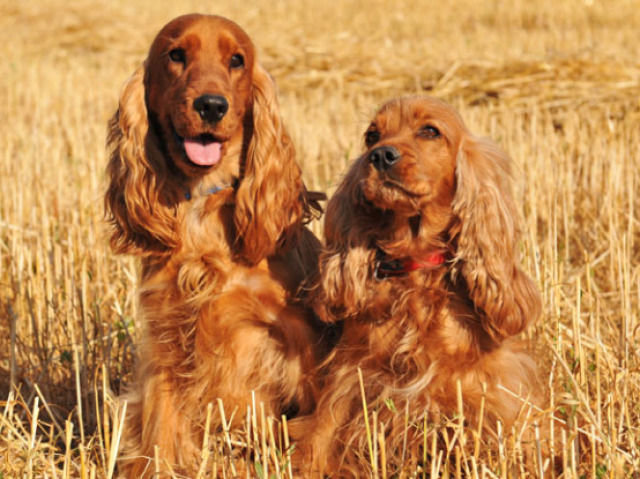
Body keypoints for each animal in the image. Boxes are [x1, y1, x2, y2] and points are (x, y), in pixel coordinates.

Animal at [105, 13, 328, 478]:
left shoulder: (303, 340)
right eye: (175, 54)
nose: (211, 105)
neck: (203, 204)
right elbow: (159, 434)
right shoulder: (168, 335)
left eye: (237, 60)